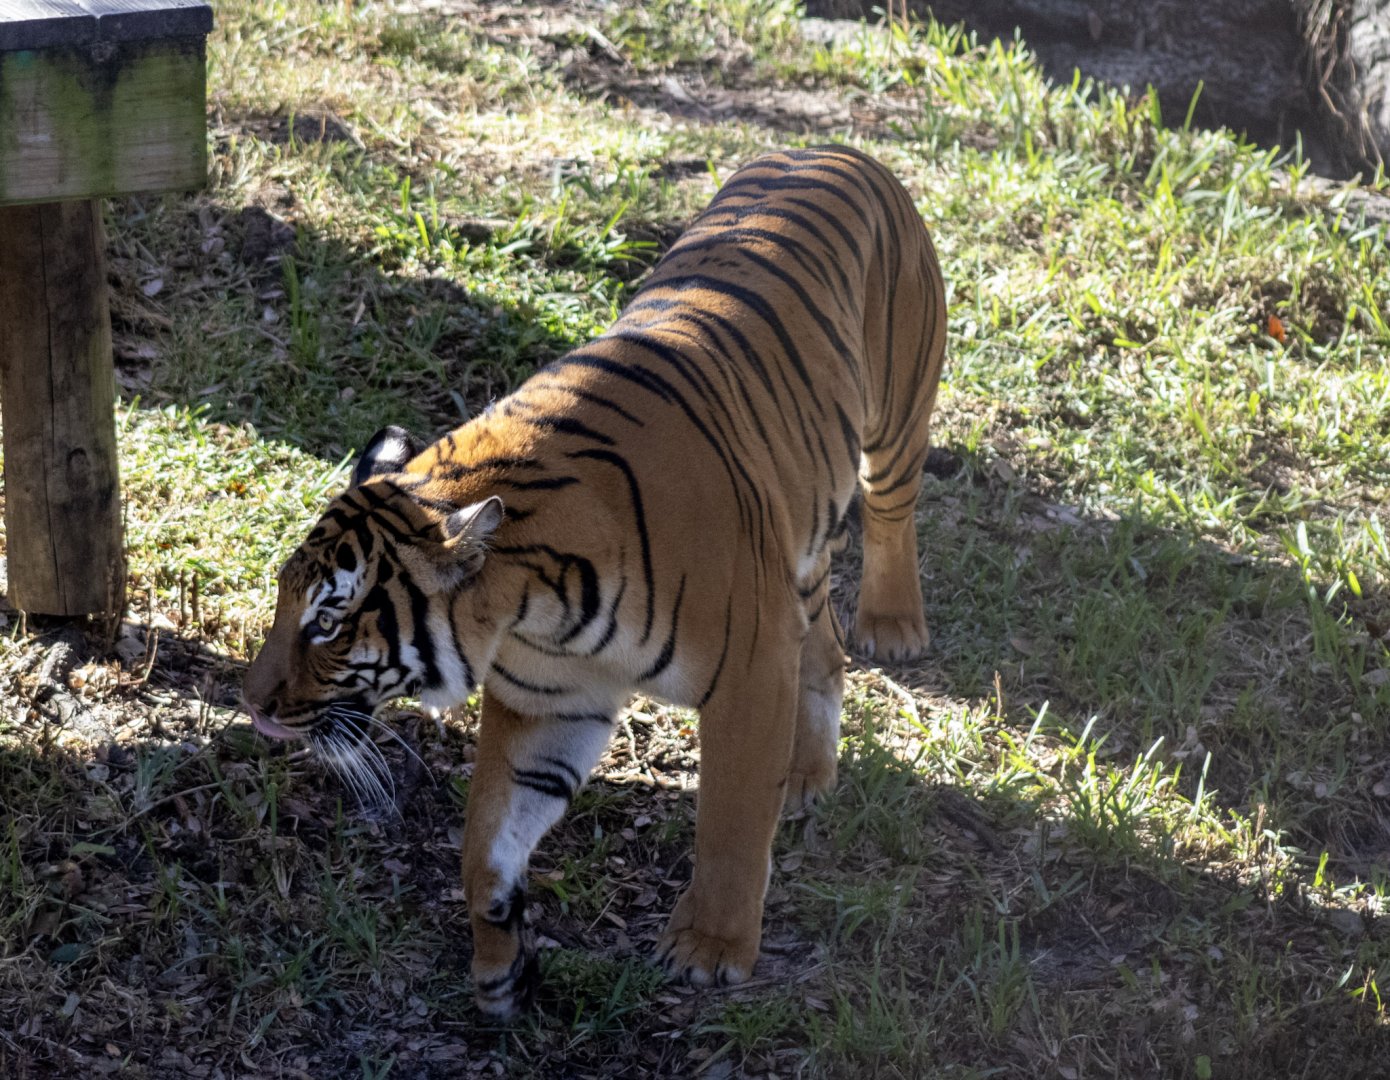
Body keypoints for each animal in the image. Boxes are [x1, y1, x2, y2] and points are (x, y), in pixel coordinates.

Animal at [243, 144, 948, 1017]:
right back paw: (806, 775)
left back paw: (893, 624)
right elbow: (486, 840)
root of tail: (833, 149)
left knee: (891, 513)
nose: (249, 703)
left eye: (330, 622)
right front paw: (500, 965)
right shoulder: (549, 701)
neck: (537, 606)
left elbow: (729, 820)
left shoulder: (748, 675)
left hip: (895, 416)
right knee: (823, 641)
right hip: (798, 540)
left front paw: (709, 949)